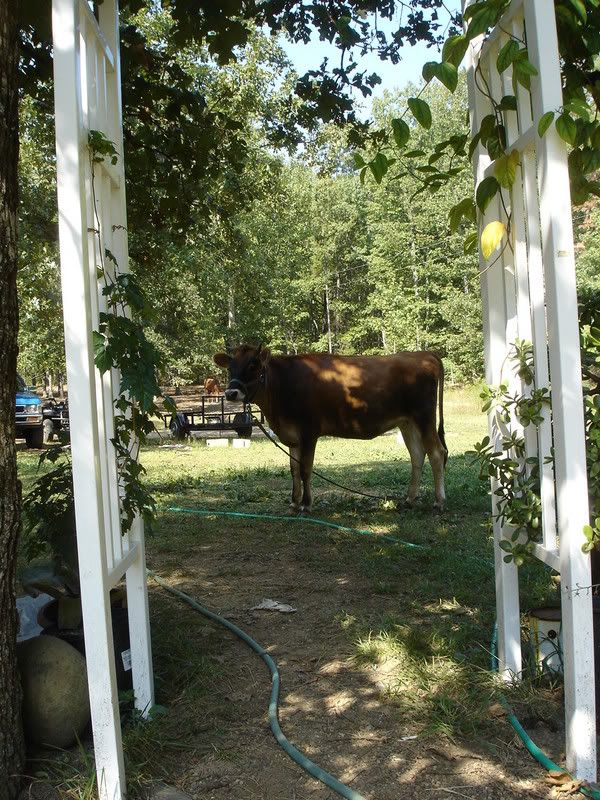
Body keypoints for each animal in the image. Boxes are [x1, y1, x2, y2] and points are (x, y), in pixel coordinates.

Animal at [214, 345, 447, 513]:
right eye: (230, 367)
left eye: (253, 365)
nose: (231, 393)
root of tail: (424, 355)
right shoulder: (292, 436)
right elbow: (294, 469)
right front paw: (294, 502)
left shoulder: (309, 432)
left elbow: (306, 469)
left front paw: (306, 504)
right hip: (407, 422)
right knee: (417, 455)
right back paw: (409, 499)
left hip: (424, 417)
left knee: (437, 453)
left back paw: (439, 502)